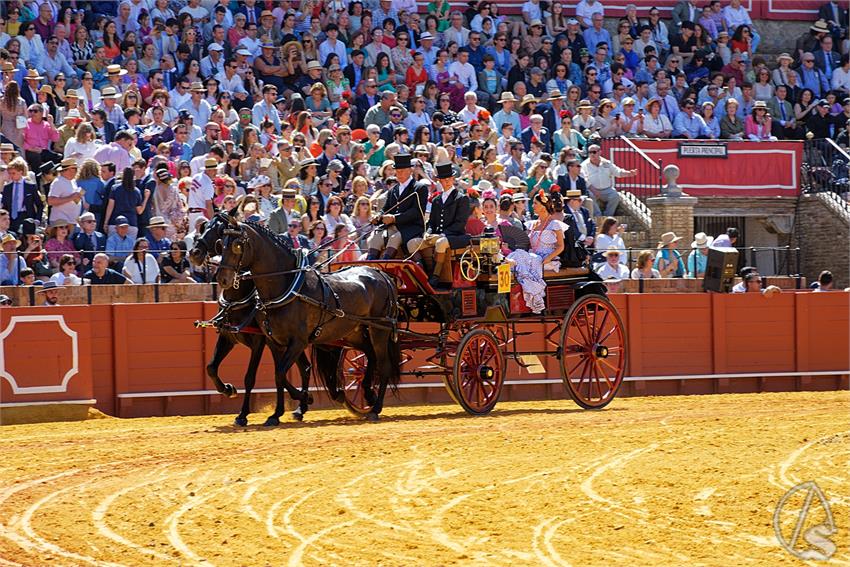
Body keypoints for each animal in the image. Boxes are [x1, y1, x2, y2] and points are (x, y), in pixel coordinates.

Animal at [212, 217, 398, 422]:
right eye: (220, 244)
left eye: (237, 245)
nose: (222, 279)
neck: (286, 286)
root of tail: (381, 274)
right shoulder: (272, 341)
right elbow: (277, 374)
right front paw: (278, 411)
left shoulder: (292, 342)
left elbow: (272, 374)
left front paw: (289, 405)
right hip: (354, 333)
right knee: (369, 355)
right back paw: (365, 394)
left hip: (380, 329)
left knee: (384, 365)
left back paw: (375, 408)